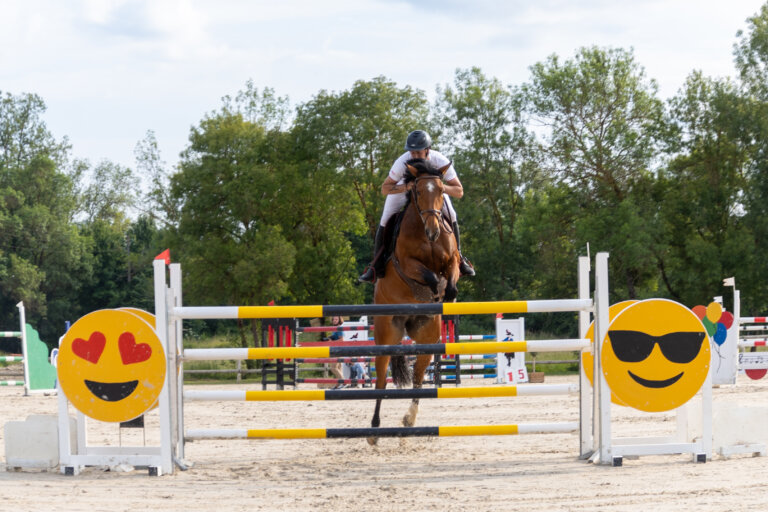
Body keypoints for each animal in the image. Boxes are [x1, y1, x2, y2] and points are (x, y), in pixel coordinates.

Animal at [368, 158, 461, 444]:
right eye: (418, 192)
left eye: (441, 190)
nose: (433, 232)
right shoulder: (408, 264)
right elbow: (428, 276)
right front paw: (434, 290)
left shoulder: (452, 260)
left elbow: (451, 277)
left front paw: (446, 294)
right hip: (386, 335)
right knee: (380, 382)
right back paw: (374, 429)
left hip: (427, 339)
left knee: (419, 377)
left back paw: (410, 419)